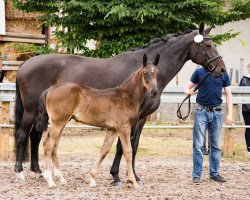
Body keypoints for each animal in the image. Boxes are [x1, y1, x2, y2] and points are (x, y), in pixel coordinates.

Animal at [35, 54, 160, 188]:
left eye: (157, 73)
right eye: (146, 73)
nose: (155, 92)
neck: (127, 97)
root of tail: (50, 89)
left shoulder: (112, 129)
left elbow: (104, 150)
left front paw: (92, 178)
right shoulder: (123, 127)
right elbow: (128, 151)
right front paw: (133, 181)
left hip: (62, 123)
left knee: (54, 146)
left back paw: (61, 178)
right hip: (57, 123)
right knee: (48, 144)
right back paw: (50, 180)